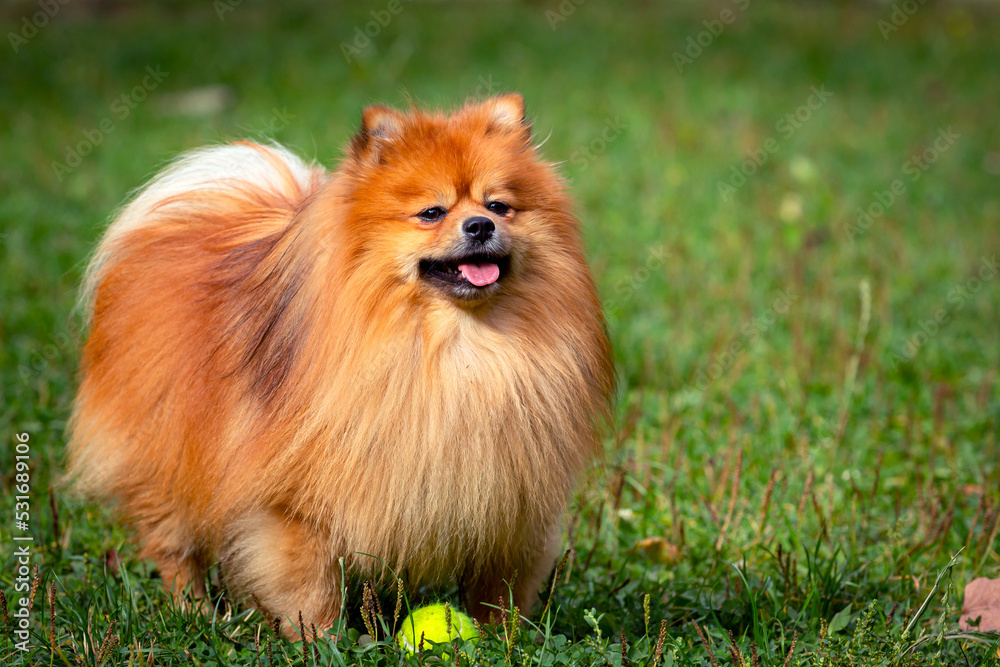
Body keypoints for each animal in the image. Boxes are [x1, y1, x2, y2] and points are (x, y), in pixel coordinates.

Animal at [66, 94, 612, 636]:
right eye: (431, 213)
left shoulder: (511, 504)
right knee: (172, 545)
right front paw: (321, 640)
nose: (480, 225)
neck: (457, 348)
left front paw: (502, 639)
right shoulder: (294, 505)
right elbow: (311, 587)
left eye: (498, 206)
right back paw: (194, 612)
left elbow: (499, 589)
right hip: (166, 457)